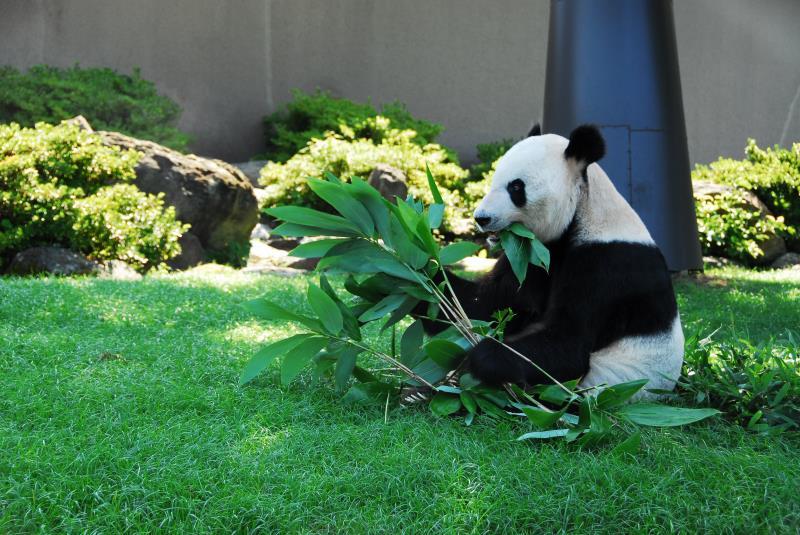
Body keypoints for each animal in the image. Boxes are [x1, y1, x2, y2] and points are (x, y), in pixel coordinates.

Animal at [428, 123, 684, 396]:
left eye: (516, 188)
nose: (481, 218)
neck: (585, 211)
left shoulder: (608, 267)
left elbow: (569, 346)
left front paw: (480, 356)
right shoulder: (531, 255)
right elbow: (481, 306)